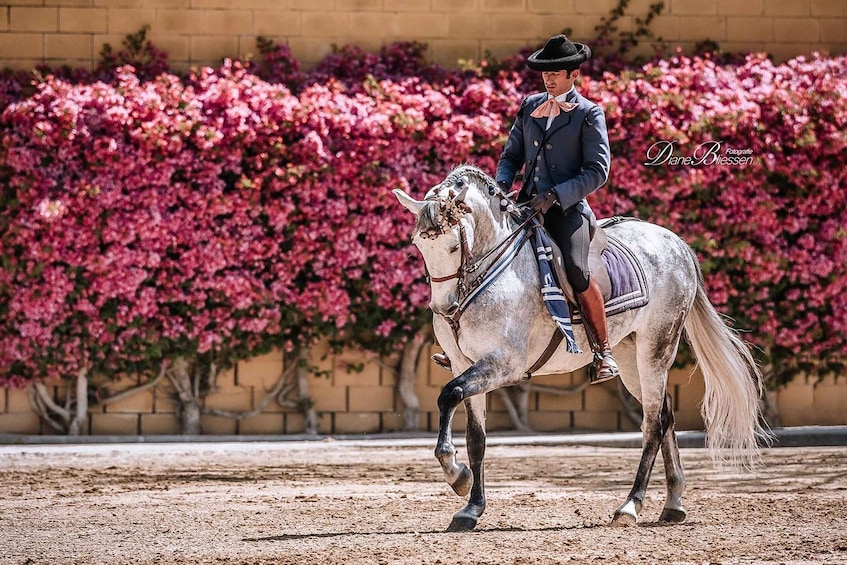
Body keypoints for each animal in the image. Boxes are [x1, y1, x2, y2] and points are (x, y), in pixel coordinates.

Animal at [394, 163, 772, 528]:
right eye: (419, 246)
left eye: (453, 246)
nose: (444, 309)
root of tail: (675, 242)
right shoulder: (465, 364)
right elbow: (476, 437)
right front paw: (471, 506)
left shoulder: (503, 364)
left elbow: (449, 395)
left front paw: (455, 474)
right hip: (630, 358)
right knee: (663, 414)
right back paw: (673, 503)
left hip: (656, 348)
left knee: (652, 424)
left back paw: (630, 505)